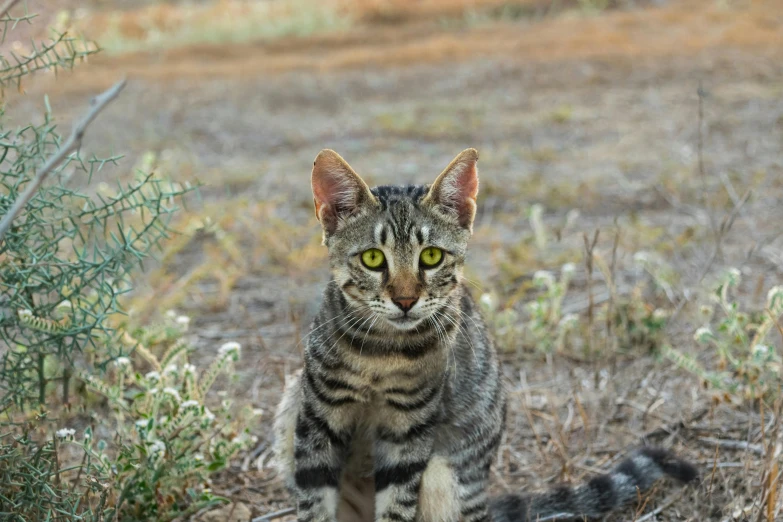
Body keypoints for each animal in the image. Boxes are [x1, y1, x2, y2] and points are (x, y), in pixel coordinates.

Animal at [272, 147, 700, 520]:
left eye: (432, 256)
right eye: (373, 258)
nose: (406, 300)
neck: (382, 353)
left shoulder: (410, 430)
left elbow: (396, 506)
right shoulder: (317, 419)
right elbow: (314, 503)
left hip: (446, 476)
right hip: (290, 410)